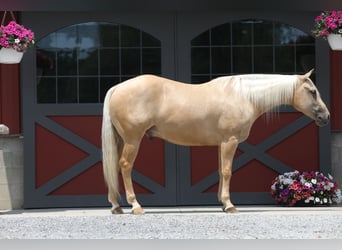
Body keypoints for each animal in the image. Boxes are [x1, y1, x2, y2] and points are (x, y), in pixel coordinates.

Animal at [101, 69, 328, 214]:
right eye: (312, 91)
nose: (325, 117)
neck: (243, 96)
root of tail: (117, 88)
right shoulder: (230, 141)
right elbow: (227, 171)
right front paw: (229, 205)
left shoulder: (222, 143)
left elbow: (220, 171)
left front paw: (222, 203)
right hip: (132, 140)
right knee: (125, 166)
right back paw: (135, 206)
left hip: (121, 140)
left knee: (114, 167)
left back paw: (116, 206)